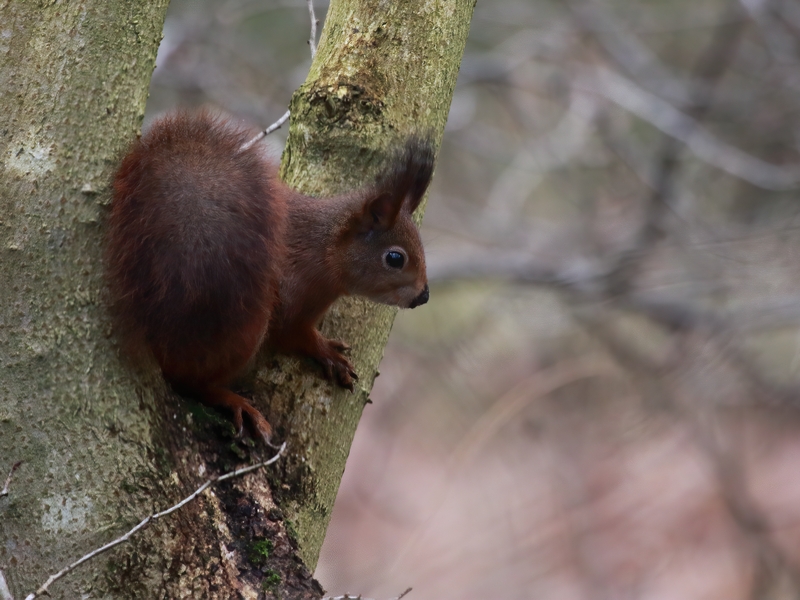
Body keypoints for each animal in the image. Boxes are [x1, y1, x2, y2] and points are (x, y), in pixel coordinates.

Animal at [106, 110, 434, 442]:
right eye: (395, 258)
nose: (424, 296)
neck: (323, 250)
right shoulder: (293, 291)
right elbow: (292, 332)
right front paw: (326, 350)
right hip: (241, 327)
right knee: (190, 383)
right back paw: (234, 401)